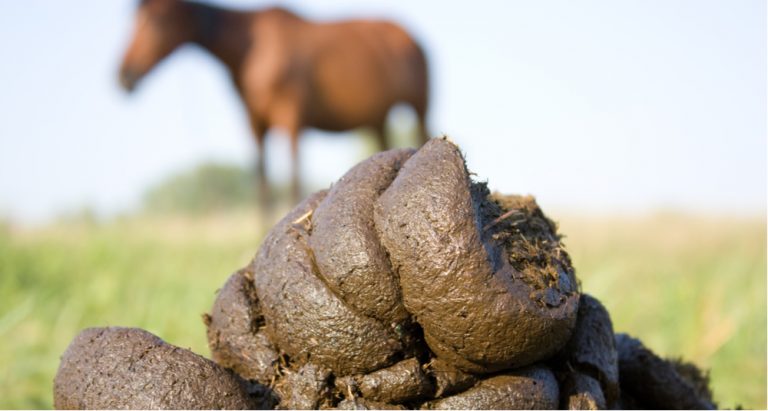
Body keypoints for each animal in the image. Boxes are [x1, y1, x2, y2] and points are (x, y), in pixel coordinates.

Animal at [121, 0, 432, 206]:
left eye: (156, 21)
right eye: (132, 21)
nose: (123, 75)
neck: (252, 49)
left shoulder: (290, 117)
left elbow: (293, 178)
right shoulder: (254, 123)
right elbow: (262, 183)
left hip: (419, 106)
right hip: (377, 118)